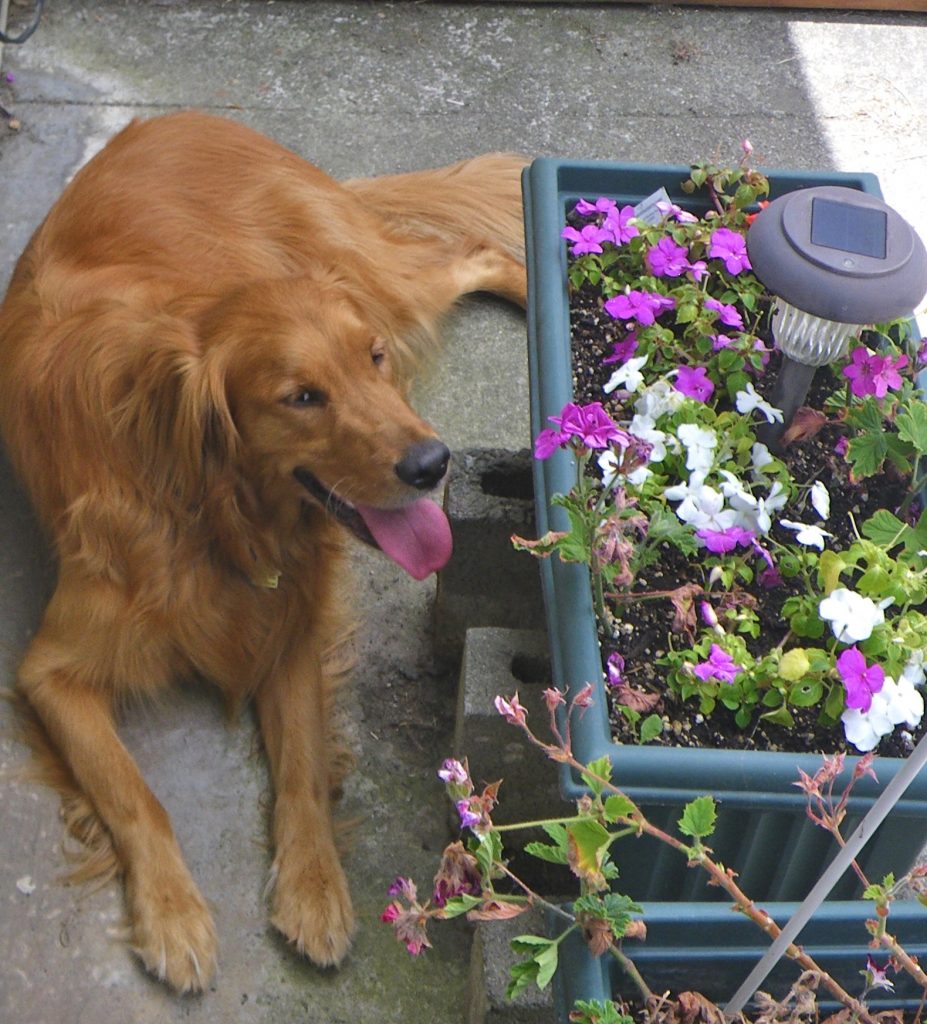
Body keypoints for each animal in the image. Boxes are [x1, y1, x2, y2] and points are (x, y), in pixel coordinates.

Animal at [0, 110, 524, 991]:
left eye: (371, 360)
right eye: (301, 397)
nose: (433, 464)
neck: (205, 509)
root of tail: (188, 119)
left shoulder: (291, 625)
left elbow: (304, 770)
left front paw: (315, 891)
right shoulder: (51, 672)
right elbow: (133, 792)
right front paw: (174, 913)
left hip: (378, 277)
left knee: (476, 251)